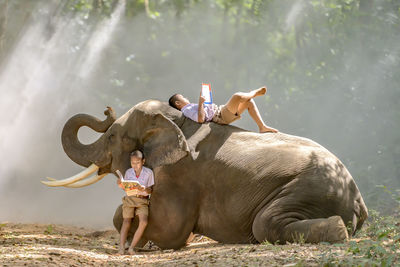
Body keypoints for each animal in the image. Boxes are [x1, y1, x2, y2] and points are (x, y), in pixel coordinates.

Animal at [44, 99, 368, 250]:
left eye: (111, 136)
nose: (106, 110)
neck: (176, 121)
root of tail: (357, 198)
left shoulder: (180, 174)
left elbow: (172, 228)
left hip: (306, 190)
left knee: (266, 223)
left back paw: (337, 230)